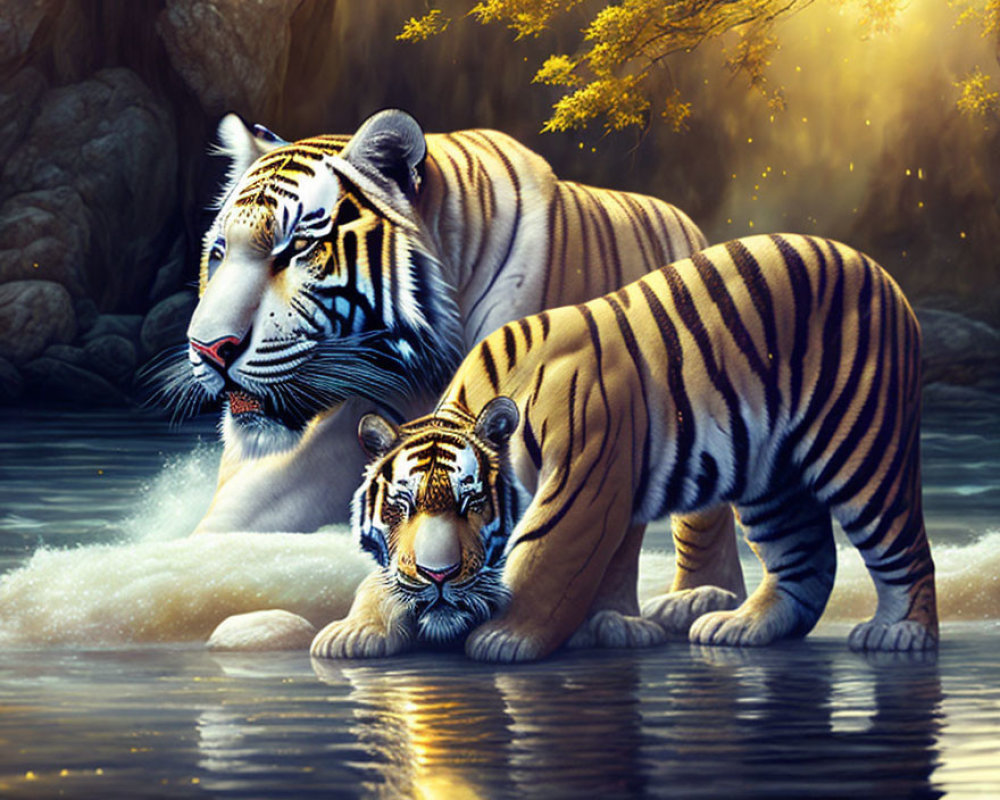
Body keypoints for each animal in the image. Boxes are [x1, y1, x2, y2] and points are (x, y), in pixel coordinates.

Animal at [311, 233, 938, 663]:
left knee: (902, 545)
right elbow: (607, 564)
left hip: (862, 450)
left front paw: (506, 636)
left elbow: (546, 558)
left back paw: (900, 631)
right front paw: (353, 630)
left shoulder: (583, 483)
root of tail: (877, 270)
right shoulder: (613, 478)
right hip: (771, 478)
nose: (438, 577)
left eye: (474, 504)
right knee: (806, 562)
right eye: (401, 507)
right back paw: (743, 625)